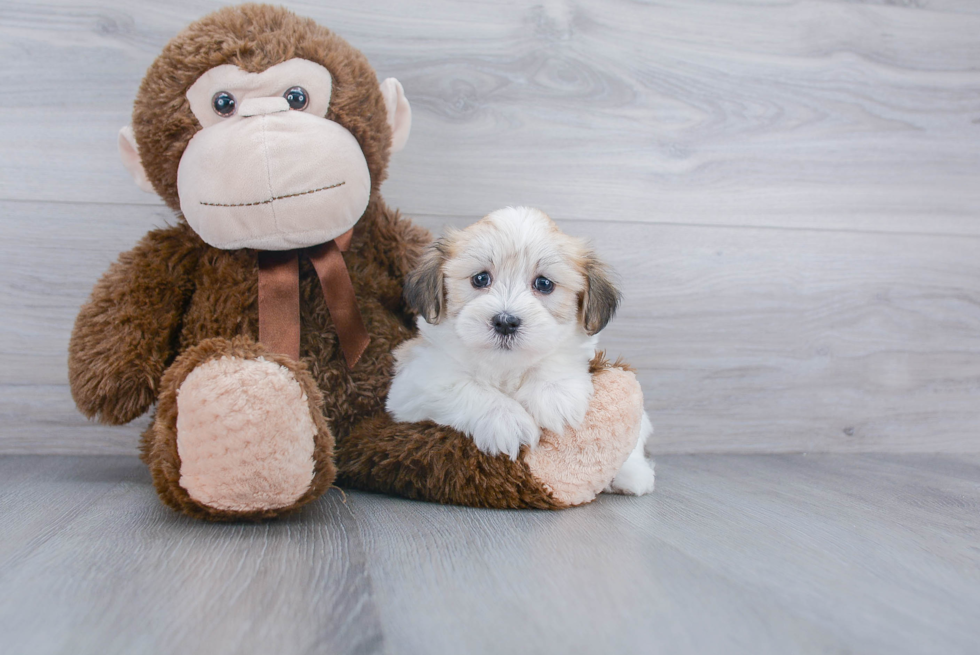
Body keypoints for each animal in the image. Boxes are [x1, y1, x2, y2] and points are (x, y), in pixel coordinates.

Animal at [386, 208, 656, 494]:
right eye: (480, 278)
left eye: (544, 284)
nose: (505, 321)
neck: (506, 366)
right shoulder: (415, 380)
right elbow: (463, 385)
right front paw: (507, 420)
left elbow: (556, 355)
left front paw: (553, 393)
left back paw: (633, 473)